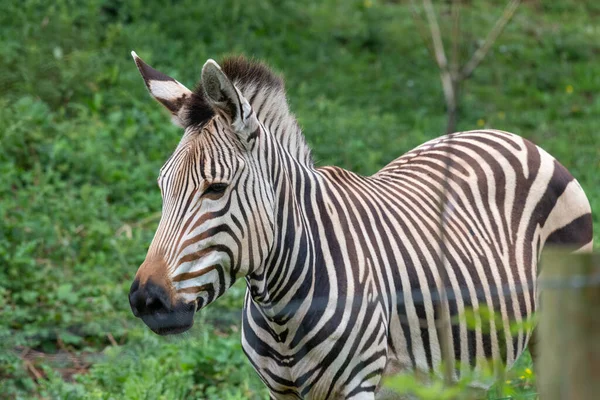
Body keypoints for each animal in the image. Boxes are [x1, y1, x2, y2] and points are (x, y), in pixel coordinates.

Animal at [129, 53, 592, 400]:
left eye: (216, 189)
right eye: (163, 187)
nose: (146, 300)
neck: (282, 311)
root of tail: (511, 134)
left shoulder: (360, 385)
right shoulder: (280, 391)